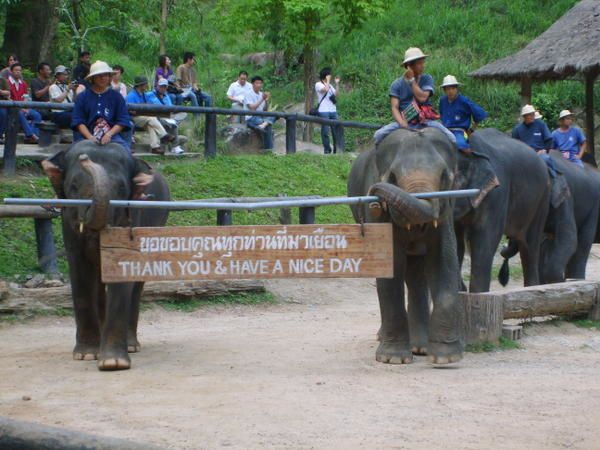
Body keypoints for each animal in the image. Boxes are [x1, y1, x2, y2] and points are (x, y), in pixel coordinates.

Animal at [43, 142, 170, 370]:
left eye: (121, 188)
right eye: (73, 186)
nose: (85, 159)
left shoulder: (132, 216)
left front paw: (113, 363)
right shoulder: (68, 222)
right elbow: (80, 271)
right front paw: (86, 355)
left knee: (137, 283)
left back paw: (131, 346)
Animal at [346, 127, 496, 366]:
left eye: (444, 176)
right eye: (392, 177)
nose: (374, 195)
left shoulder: (446, 210)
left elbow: (443, 262)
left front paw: (446, 358)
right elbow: (390, 269)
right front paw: (393, 359)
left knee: (417, 274)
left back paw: (421, 347)